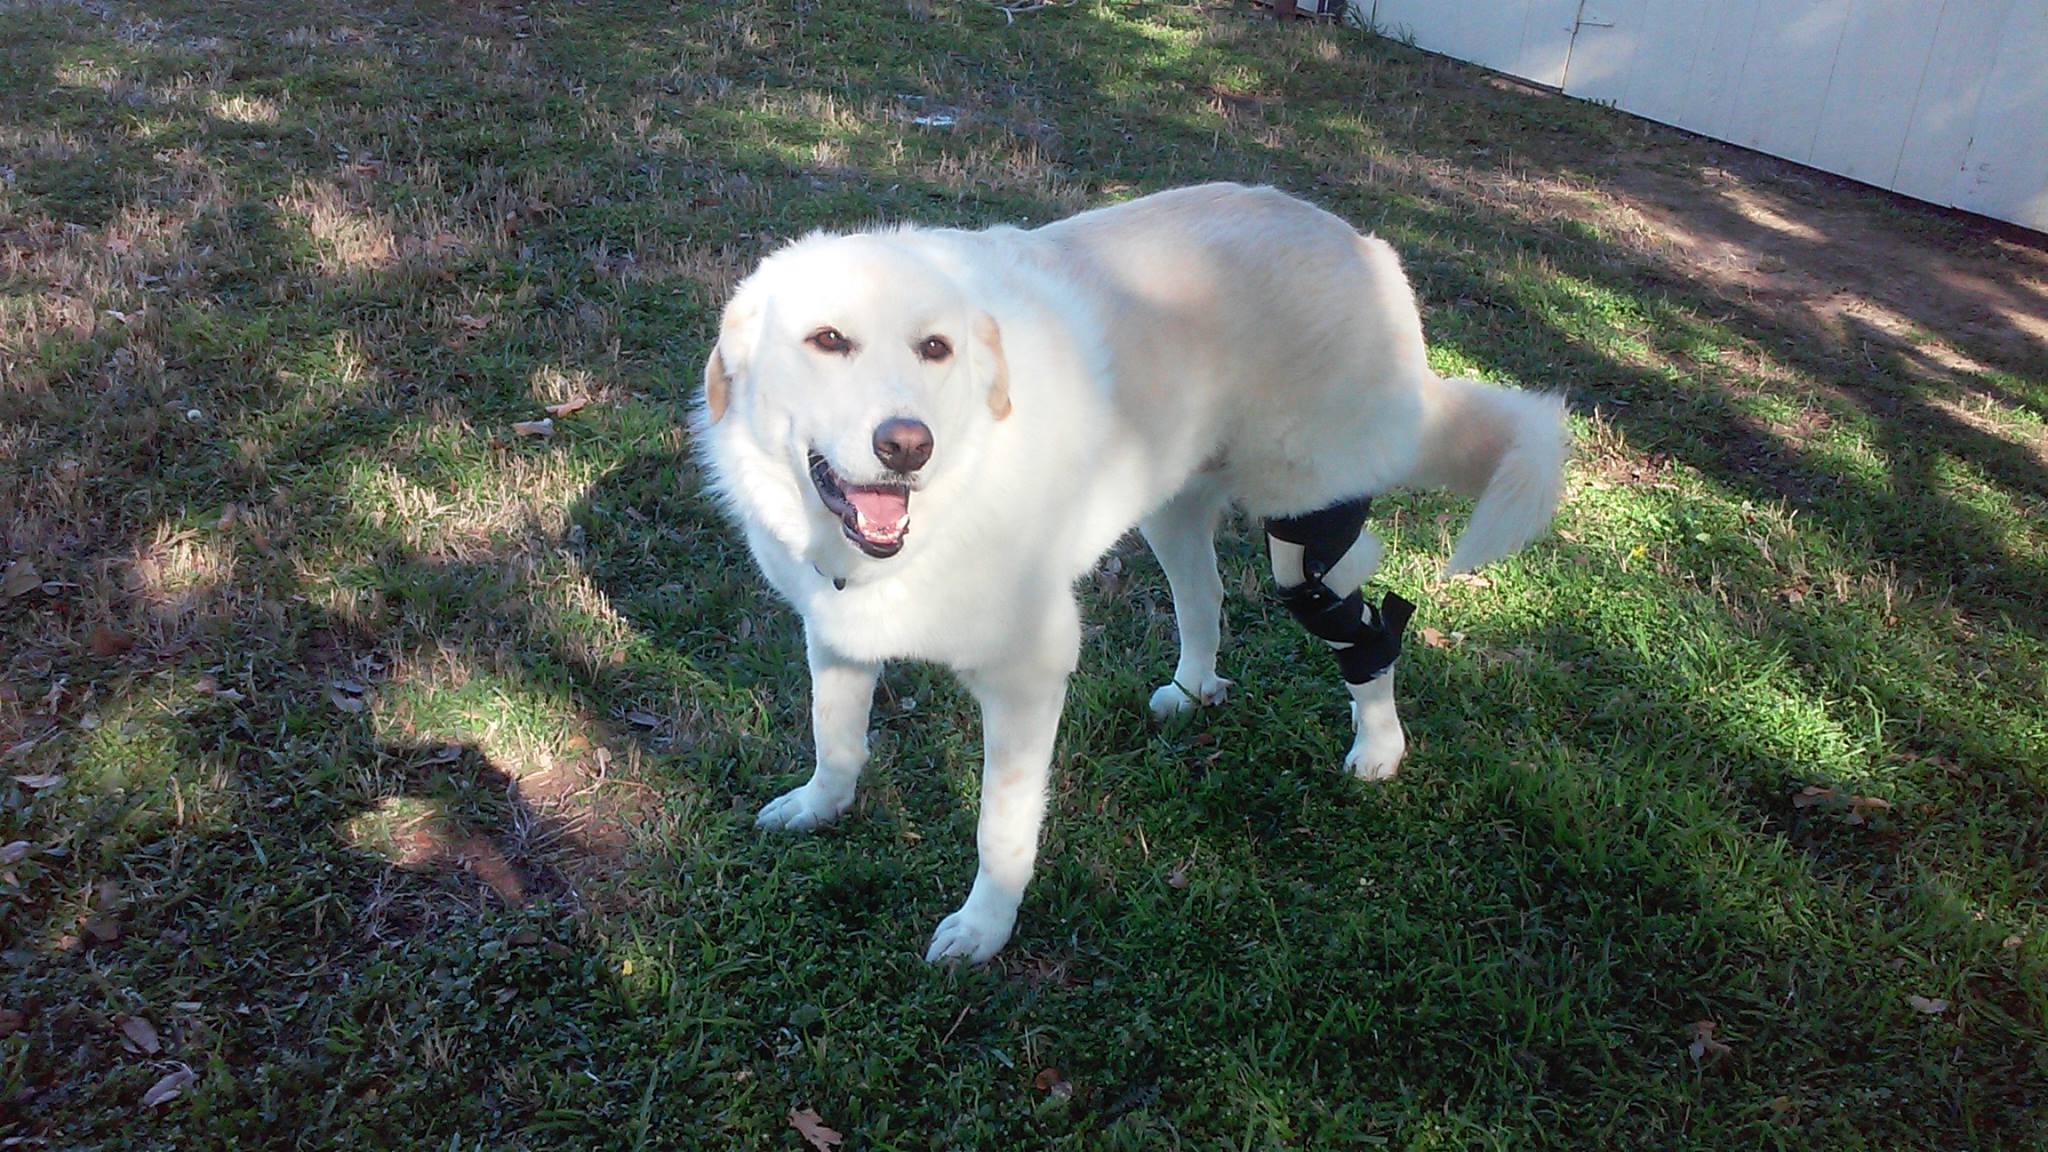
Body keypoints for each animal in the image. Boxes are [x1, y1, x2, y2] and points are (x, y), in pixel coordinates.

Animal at [692, 181, 1564, 959]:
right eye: (827, 341)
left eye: (934, 349)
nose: (908, 445)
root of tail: (1362, 243)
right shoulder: (836, 632)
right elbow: (836, 741)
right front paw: (820, 807)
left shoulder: (1028, 677)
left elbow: (999, 829)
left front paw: (985, 930)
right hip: (1170, 510)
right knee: (1205, 596)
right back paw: (1193, 688)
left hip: (1307, 536)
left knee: (1367, 633)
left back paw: (1380, 747)